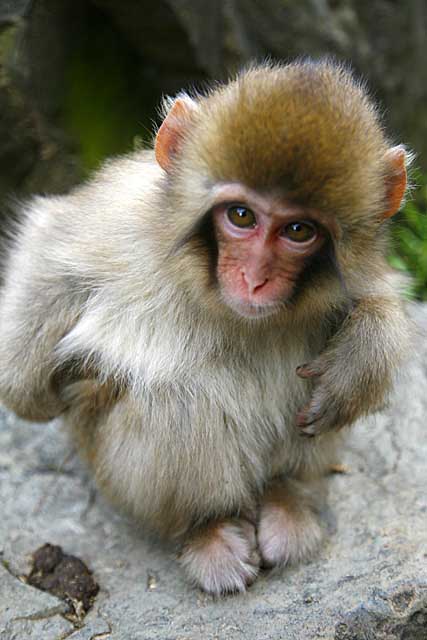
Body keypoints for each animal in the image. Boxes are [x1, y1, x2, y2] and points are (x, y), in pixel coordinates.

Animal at [0, 61, 414, 596]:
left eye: (298, 231)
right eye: (241, 215)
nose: (255, 279)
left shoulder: (358, 265)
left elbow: (381, 298)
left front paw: (359, 365)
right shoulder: (121, 218)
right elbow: (49, 253)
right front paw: (31, 394)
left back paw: (285, 497)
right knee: (173, 399)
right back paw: (208, 528)